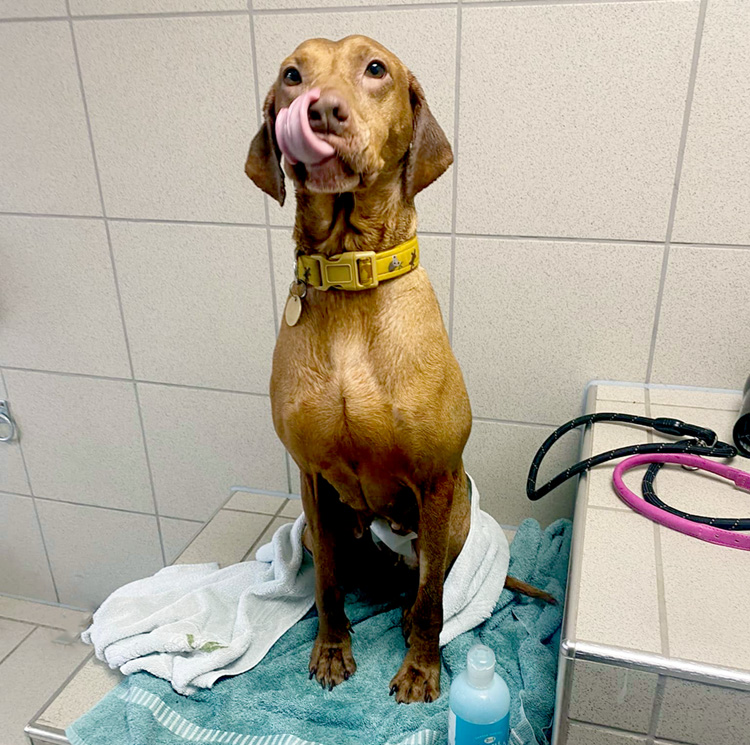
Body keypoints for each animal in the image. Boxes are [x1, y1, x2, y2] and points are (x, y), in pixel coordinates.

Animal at [247, 35, 552, 704]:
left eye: (375, 68)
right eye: (291, 74)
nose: (319, 109)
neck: (351, 276)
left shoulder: (435, 479)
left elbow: (435, 598)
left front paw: (420, 669)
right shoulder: (313, 479)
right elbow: (327, 586)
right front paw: (332, 649)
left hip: (454, 519)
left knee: (424, 587)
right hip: (328, 528)